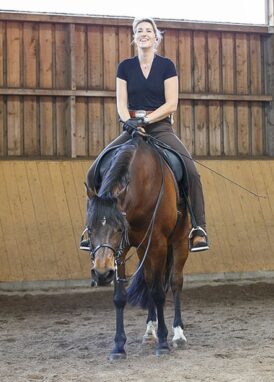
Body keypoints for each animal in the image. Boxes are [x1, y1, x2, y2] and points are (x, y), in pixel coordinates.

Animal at [84, 136, 189, 360]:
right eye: (90, 228)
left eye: (118, 228)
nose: (102, 273)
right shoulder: (120, 251)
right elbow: (120, 297)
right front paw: (118, 346)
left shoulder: (158, 243)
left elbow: (159, 292)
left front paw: (163, 344)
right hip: (143, 250)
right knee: (149, 281)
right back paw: (149, 332)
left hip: (179, 241)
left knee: (175, 282)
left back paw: (178, 334)